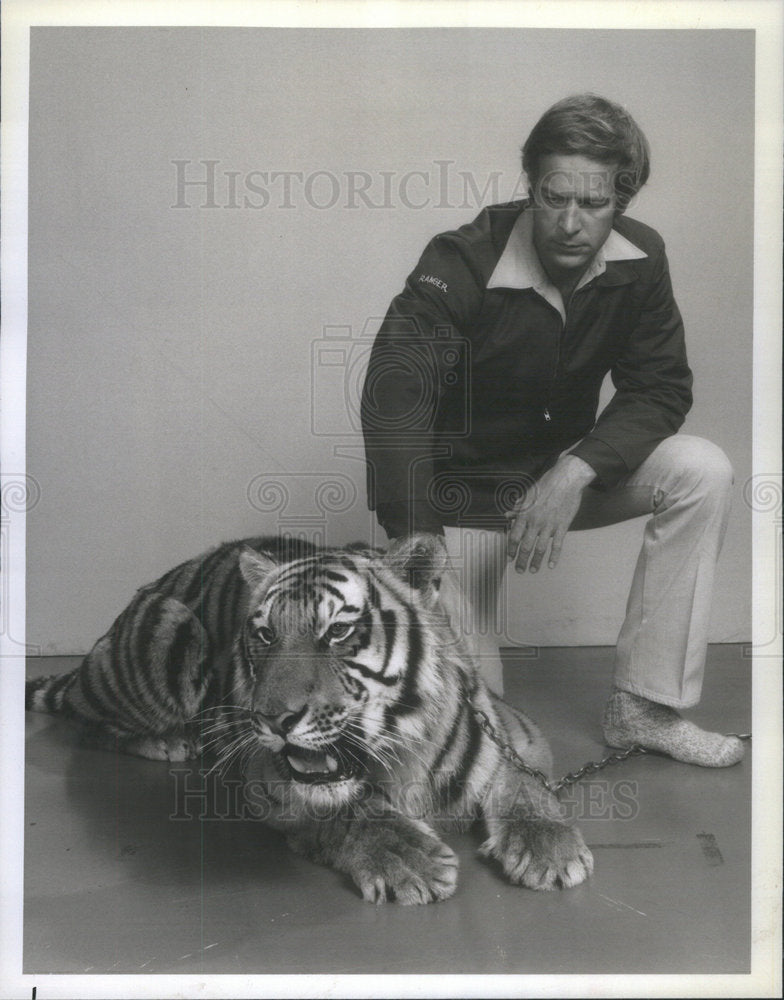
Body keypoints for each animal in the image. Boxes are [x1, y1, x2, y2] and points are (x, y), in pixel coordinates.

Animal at [29, 536, 596, 904]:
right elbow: (348, 807)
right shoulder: (266, 779)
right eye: (264, 635)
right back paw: (169, 741)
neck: (403, 750)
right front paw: (409, 859)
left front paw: (548, 850)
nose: (270, 718)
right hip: (171, 630)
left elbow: (526, 785)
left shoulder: (518, 731)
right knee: (87, 719)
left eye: (338, 632)